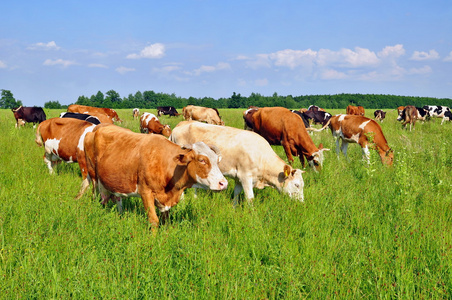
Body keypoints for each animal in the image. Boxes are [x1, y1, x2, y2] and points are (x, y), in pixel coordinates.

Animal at [83, 123, 228, 229]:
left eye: (217, 160)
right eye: (202, 160)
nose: (224, 183)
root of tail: (97, 128)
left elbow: (165, 219)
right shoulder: (145, 192)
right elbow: (154, 220)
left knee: (115, 198)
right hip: (94, 176)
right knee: (99, 198)